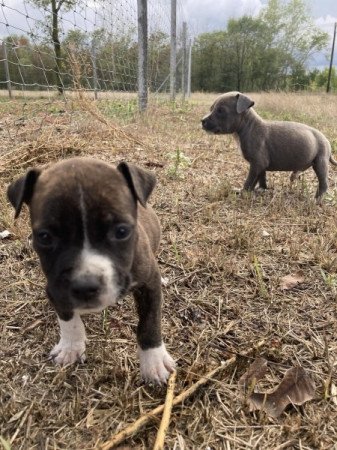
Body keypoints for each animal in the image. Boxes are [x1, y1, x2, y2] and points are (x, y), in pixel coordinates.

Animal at [201, 91, 334, 199]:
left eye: (221, 111)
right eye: (211, 108)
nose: (202, 121)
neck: (247, 127)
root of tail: (326, 140)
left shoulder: (257, 163)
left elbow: (249, 180)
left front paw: (243, 192)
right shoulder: (260, 165)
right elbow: (260, 177)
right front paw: (260, 189)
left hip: (320, 162)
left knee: (324, 184)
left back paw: (316, 200)